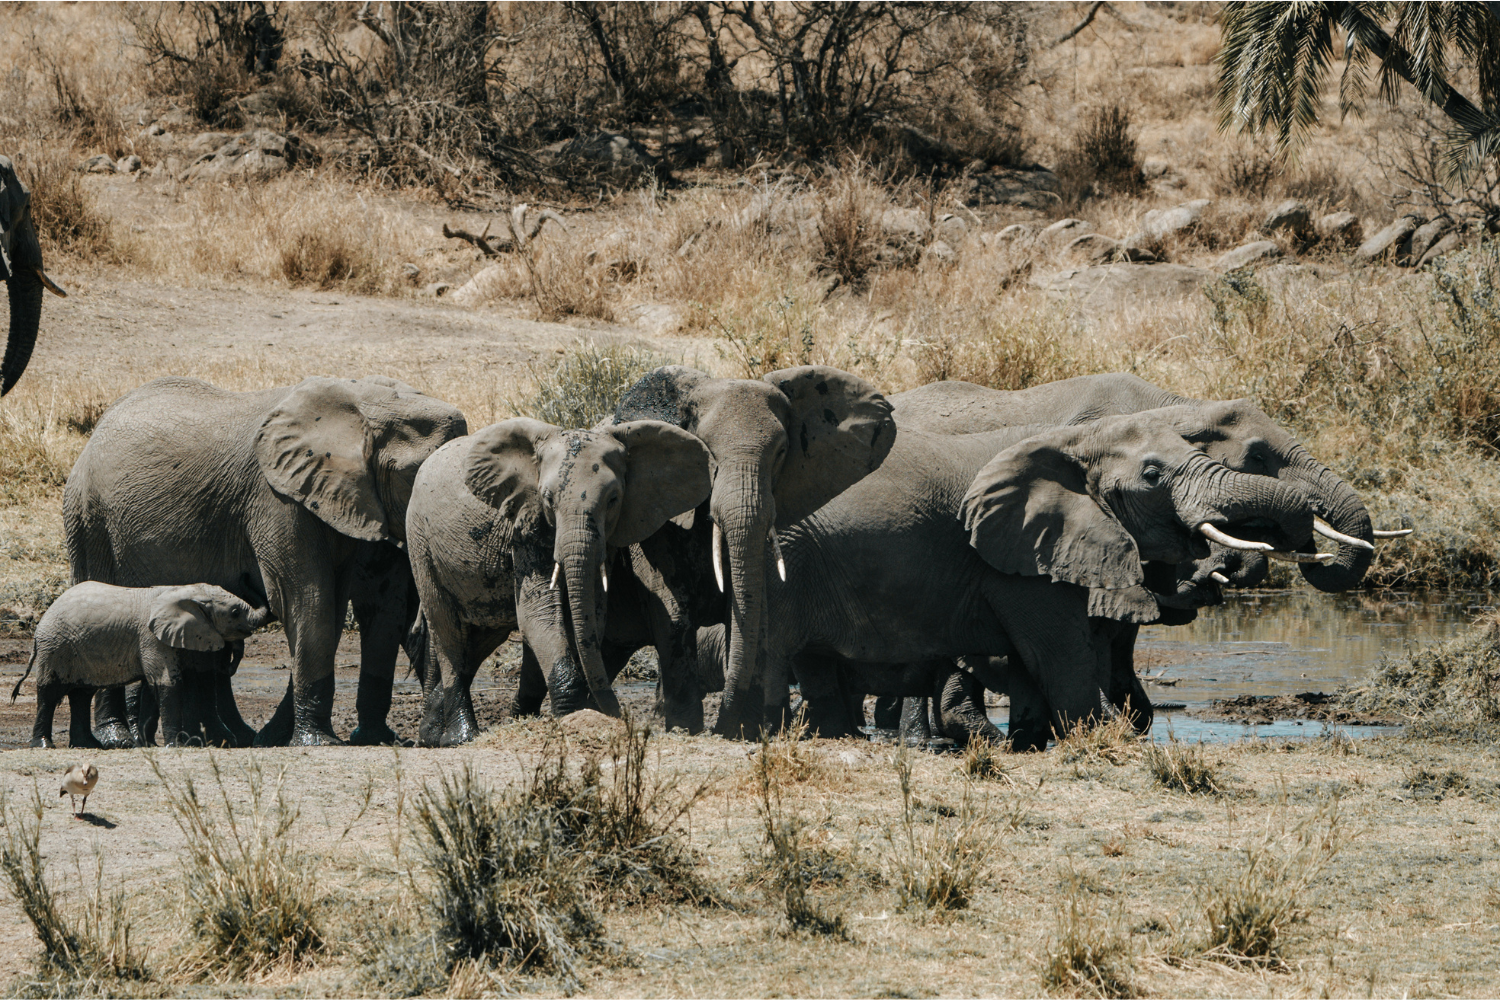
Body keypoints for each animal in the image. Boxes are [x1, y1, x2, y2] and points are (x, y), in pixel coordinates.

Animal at [12, 582, 271, 748]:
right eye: (235, 612)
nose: (230, 663)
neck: (183, 589)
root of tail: (40, 624)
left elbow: (156, 685)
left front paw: (151, 744)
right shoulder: (150, 636)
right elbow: (167, 682)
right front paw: (174, 746)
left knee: (81, 694)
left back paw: (88, 745)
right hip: (55, 647)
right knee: (49, 694)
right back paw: (44, 745)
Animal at [63, 375, 467, 746]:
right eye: (417, 476)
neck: (362, 404)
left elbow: (336, 607)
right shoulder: (277, 499)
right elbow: (307, 600)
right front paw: (318, 742)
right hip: (88, 519)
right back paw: (120, 739)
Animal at [405, 417, 711, 745]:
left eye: (613, 500)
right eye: (548, 499)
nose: (618, 713)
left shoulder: (607, 537)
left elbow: (591, 610)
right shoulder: (525, 523)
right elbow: (537, 612)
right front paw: (571, 717)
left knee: (482, 634)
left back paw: (430, 735)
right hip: (420, 541)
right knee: (446, 628)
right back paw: (460, 738)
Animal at [607, 365, 894, 736]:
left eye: (781, 452)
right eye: (708, 455)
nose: (719, 728)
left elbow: (750, 608)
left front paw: (742, 728)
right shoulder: (657, 521)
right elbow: (674, 611)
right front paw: (687, 729)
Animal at [757, 408, 1320, 743]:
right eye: (1152, 476)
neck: (1075, 439)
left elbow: (1045, 661)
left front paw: (1031, 742)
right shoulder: (1021, 554)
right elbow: (1064, 657)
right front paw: (1098, 738)